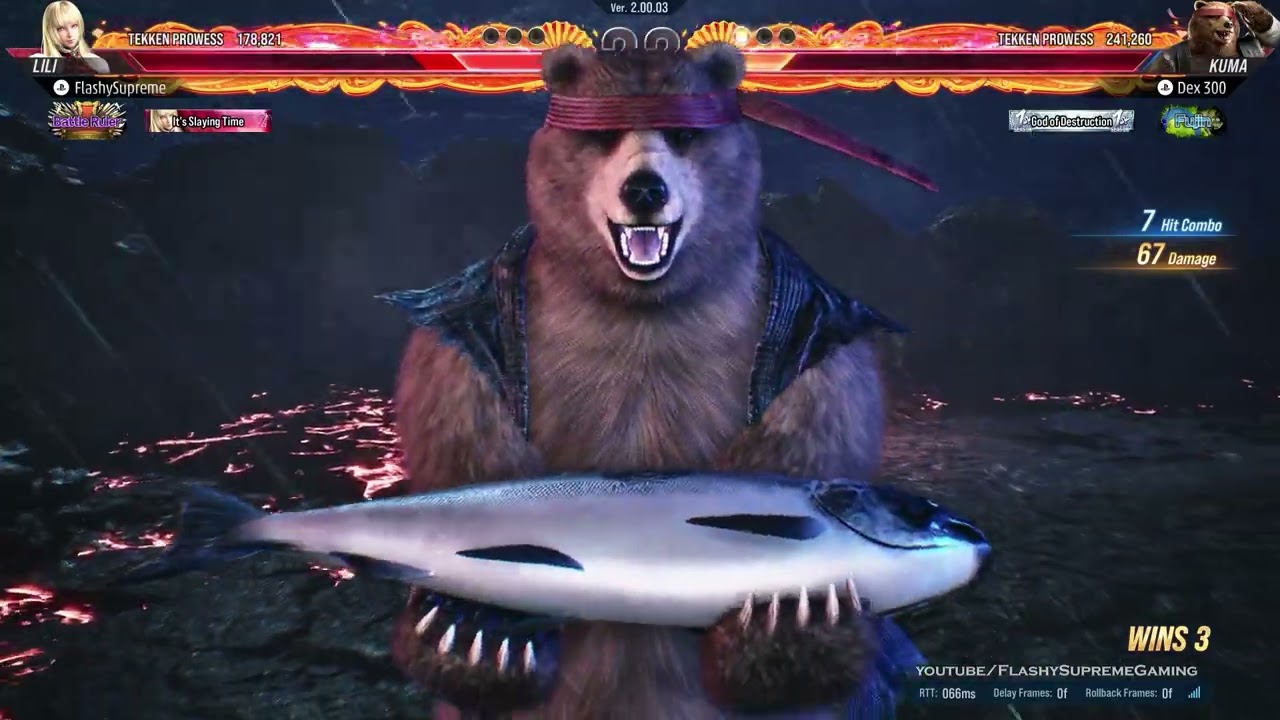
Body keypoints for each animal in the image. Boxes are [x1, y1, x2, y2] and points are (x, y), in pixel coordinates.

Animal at [381, 42, 915, 719]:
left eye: (684, 135)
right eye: (603, 136)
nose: (644, 188)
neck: (642, 304)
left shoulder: (817, 346)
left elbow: (809, 446)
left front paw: (790, 618)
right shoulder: (468, 342)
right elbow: (466, 453)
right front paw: (478, 630)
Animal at [1145, 1, 1280, 74]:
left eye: (1229, 17)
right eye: (1215, 15)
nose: (1228, 24)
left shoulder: (1254, 44)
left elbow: (1271, 41)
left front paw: (1244, 6)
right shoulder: (1167, 58)